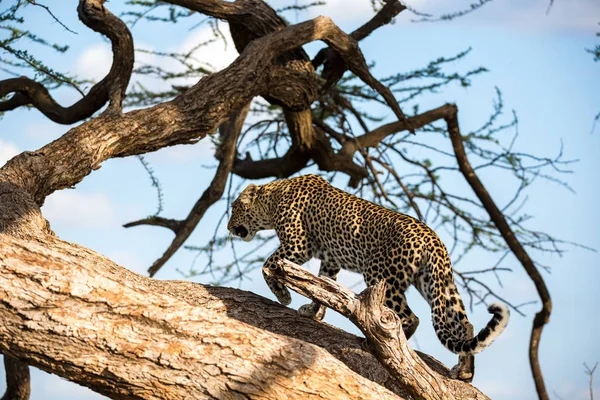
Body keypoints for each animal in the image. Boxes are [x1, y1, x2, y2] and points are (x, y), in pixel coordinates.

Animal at [227, 173, 508, 380]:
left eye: (234, 208)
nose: (229, 228)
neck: (272, 198)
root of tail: (433, 239)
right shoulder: (330, 260)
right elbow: (323, 283)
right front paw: (313, 311)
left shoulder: (298, 245)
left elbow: (267, 264)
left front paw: (283, 295)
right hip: (436, 283)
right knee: (464, 325)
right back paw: (464, 372)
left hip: (381, 275)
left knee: (409, 318)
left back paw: (383, 348)